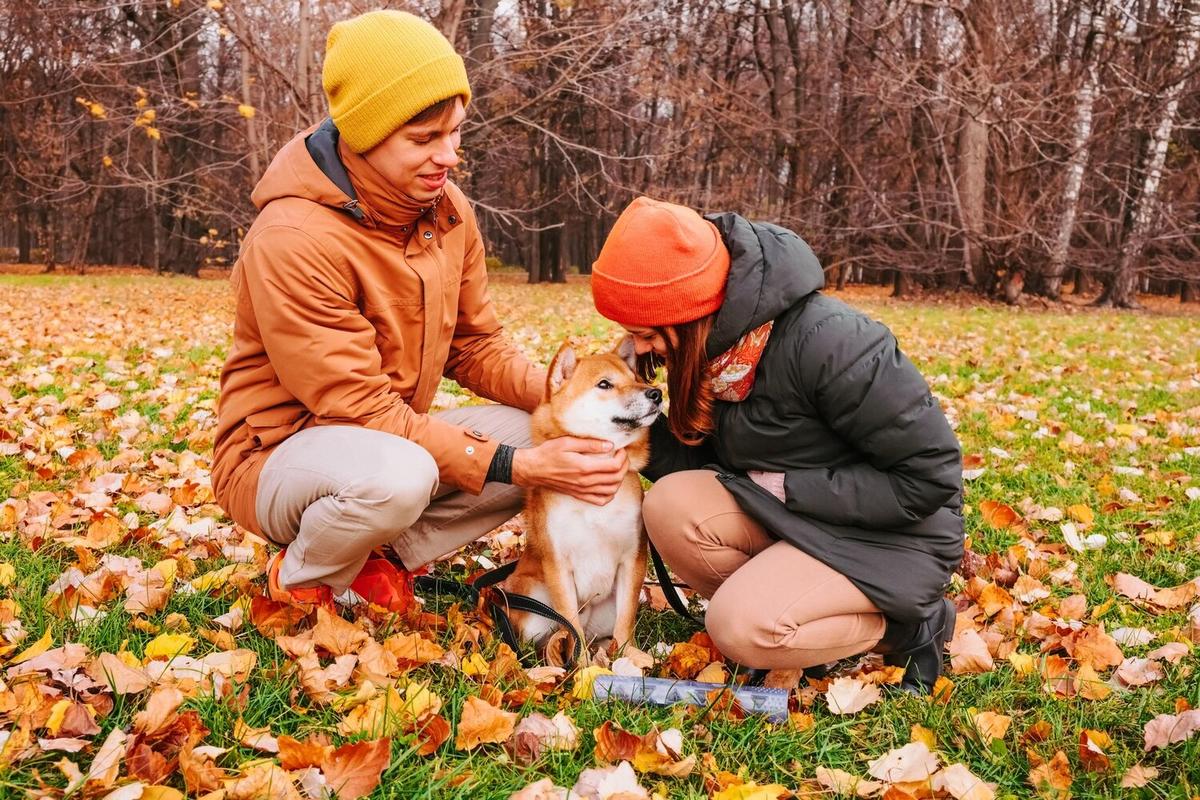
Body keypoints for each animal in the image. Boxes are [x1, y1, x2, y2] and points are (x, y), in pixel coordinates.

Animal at [502, 336, 662, 661]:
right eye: (605, 384)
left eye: (635, 378)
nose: (656, 393)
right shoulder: (559, 566)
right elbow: (570, 626)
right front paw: (584, 668)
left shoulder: (632, 559)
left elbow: (625, 624)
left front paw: (628, 658)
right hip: (533, 605)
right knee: (558, 635)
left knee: (599, 636)